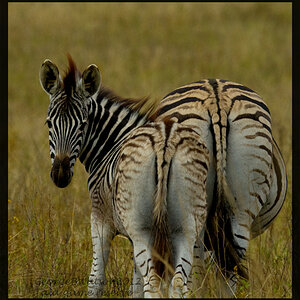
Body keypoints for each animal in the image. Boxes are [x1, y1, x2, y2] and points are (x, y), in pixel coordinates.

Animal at [39, 55, 209, 298]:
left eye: (83, 124)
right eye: (49, 123)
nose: (60, 175)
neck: (112, 143)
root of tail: (165, 141)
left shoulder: (100, 220)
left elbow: (96, 279)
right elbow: (135, 287)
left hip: (143, 229)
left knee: (153, 283)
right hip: (186, 226)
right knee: (177, 282)